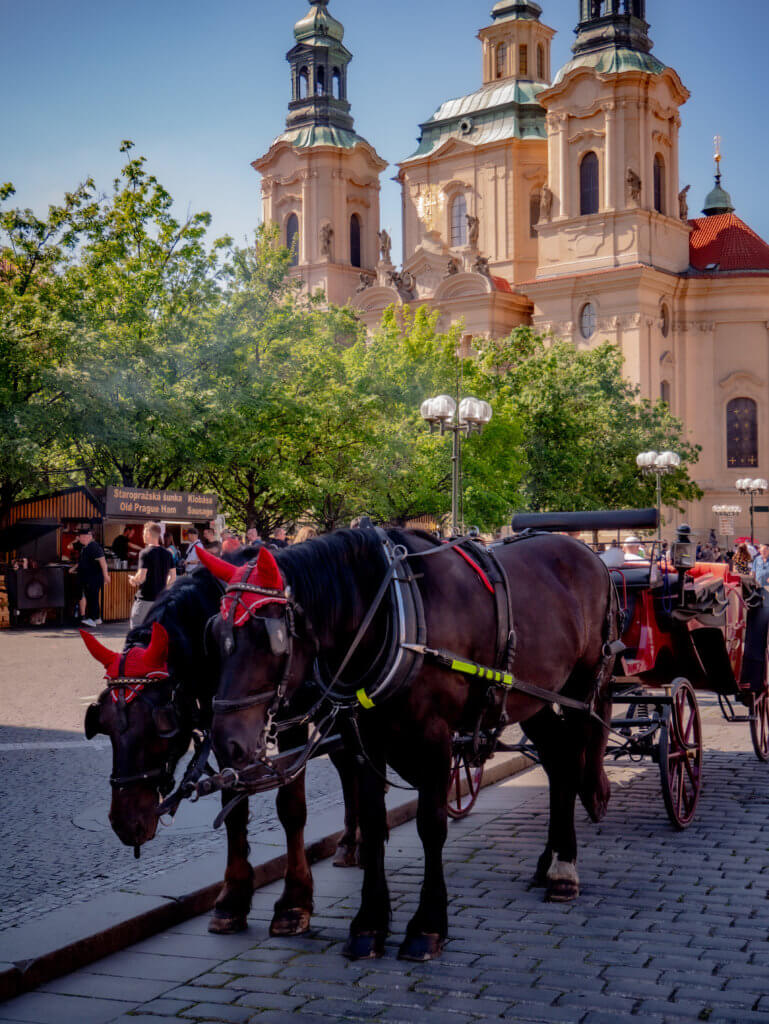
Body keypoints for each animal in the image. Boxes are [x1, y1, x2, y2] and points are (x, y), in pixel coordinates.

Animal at [79, 552, 362, 937]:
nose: (125, 823)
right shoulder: (228, 736)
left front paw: (294, 902)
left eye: (158, 724)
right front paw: (233, 899)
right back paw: (350, 843)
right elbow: (233, 808)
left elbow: (291, 808)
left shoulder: (292, 723)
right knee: (350, 765)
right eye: (104, 724)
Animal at [199, 532, 618, 962]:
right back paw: (550, 861)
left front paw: (427, 926)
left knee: (573, 759)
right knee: (557, 760)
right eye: (214, 636)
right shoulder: (364, 740)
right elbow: (373, 822)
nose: (226, 742)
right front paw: (369, 924)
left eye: (271, 640)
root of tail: (588, 554)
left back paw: (564, 868)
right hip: (532, 697)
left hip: (580, 689)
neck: (391, 614)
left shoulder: (435, 739)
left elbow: (431, 825)